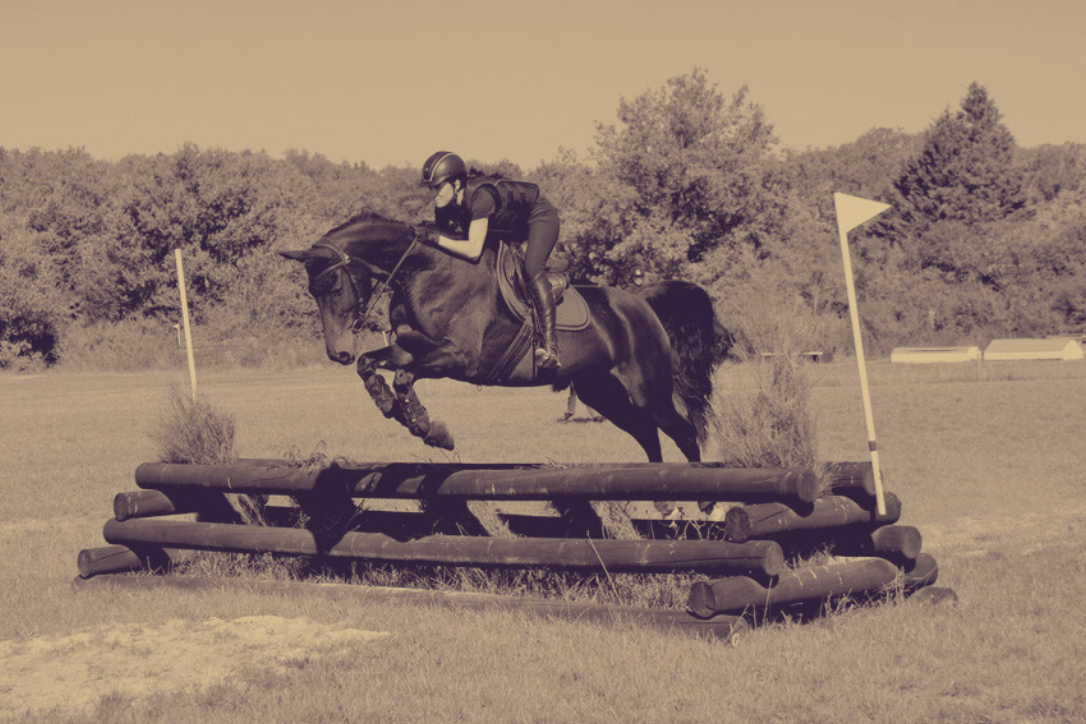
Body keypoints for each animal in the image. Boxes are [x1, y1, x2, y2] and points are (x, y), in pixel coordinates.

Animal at [280, 213, 731, 462]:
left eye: (334, 286)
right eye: (312, 291)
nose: (336, 352)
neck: (425, 272)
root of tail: (641, 302)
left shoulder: (458, 358)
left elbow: (406, 378)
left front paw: (428, 427)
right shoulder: (412, 348)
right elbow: (371, 364)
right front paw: (393, 407)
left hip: (647, 390)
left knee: (683, 432)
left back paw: (703, 505)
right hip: (604, 392)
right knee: (648, 435)